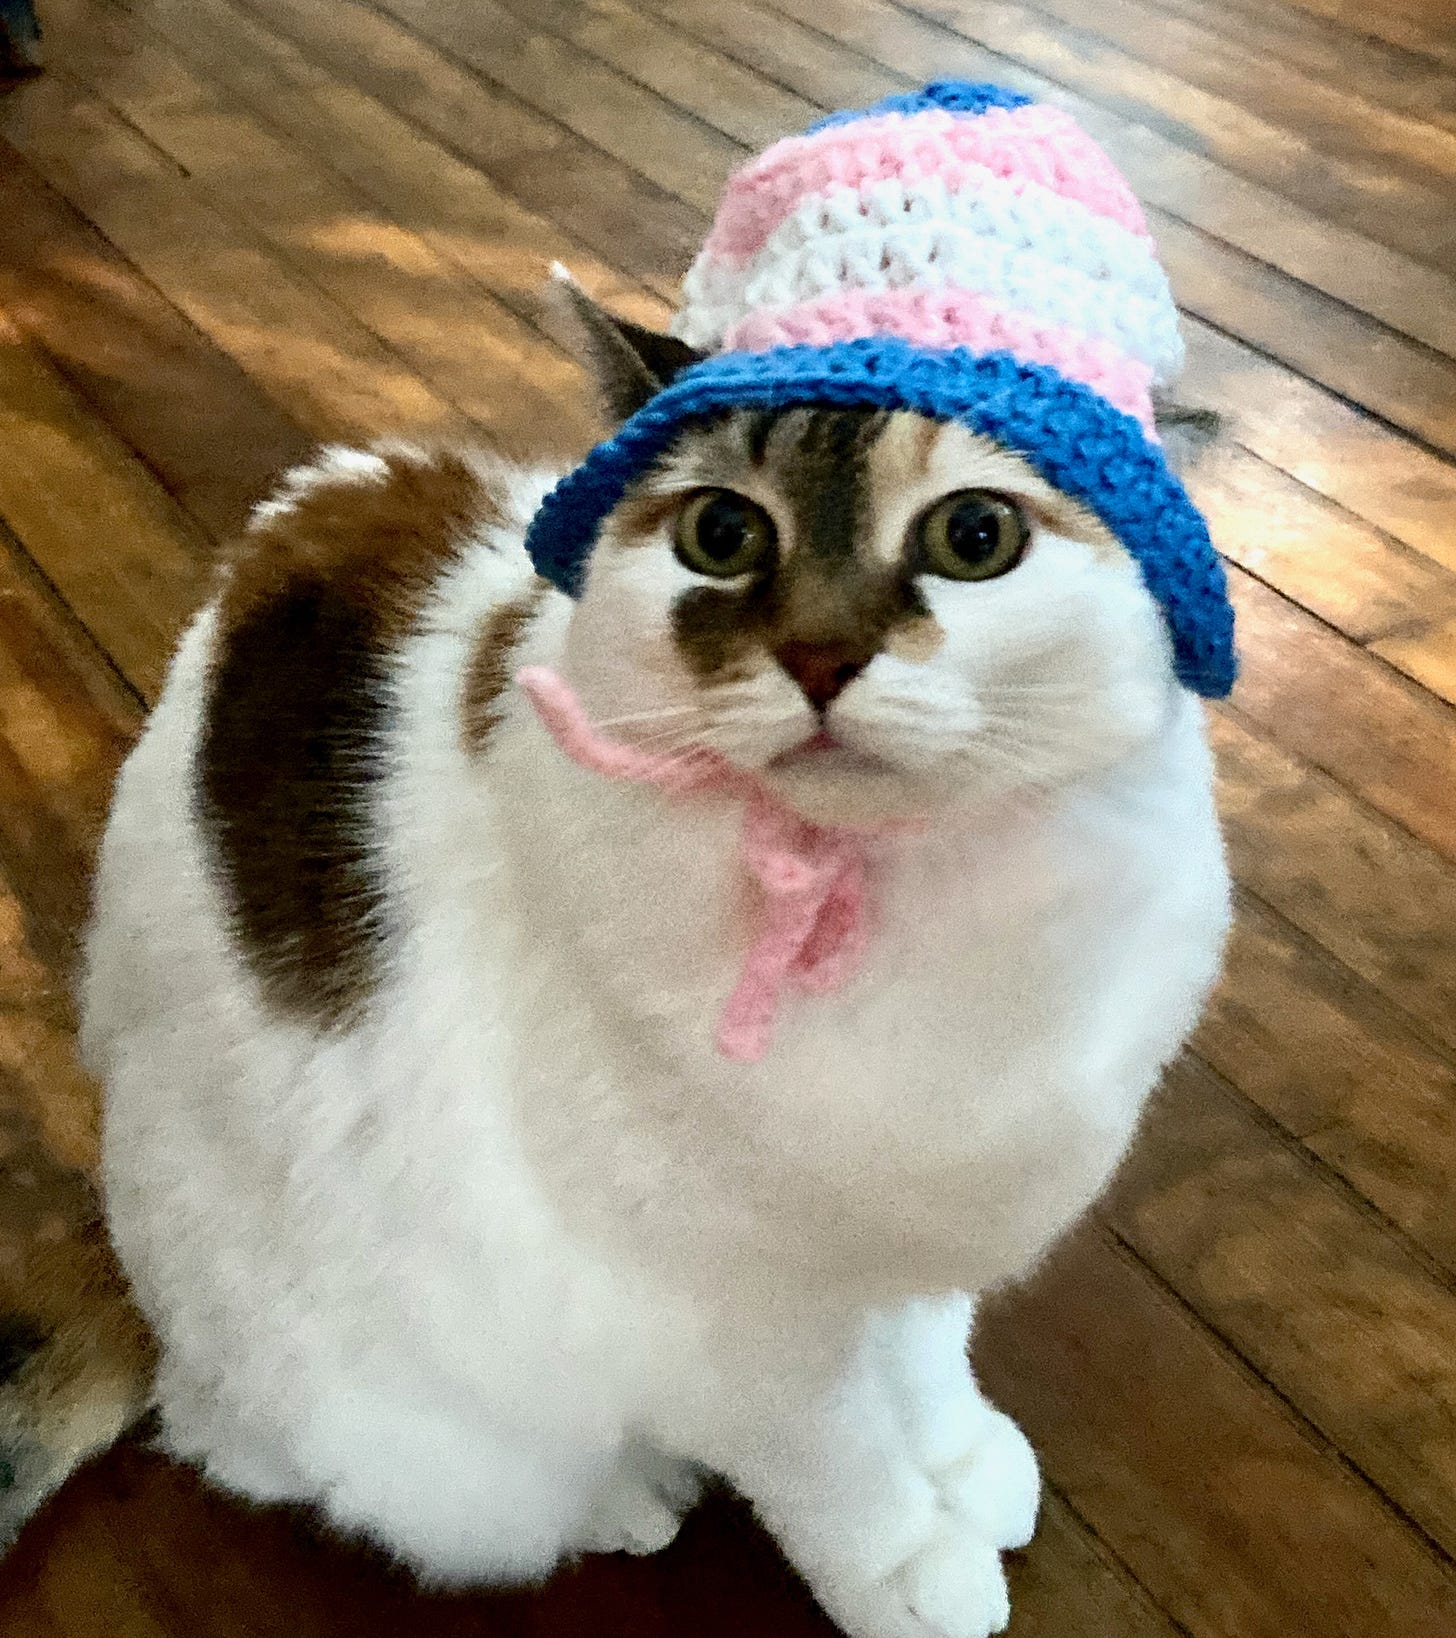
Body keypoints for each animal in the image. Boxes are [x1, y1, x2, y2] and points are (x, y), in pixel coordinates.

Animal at [79, 288, 1231, 1631]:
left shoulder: (911, 1214)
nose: (819, 658)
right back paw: (625, 1496)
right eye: (721, 535)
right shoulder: (731, 1319)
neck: (885, 893)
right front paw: (905, 1561)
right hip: (402, 1406)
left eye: (975, 536)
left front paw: (951, 1454)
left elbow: (923, 1342)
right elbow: (833, 1463)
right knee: (276, 1452)